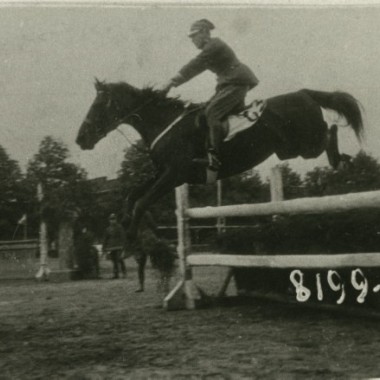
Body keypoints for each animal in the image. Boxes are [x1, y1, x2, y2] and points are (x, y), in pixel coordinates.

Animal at [75, 79, 364, 240]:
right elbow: (132, 195)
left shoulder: (174, 174)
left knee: (329, 132)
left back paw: (341, 160)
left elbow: (142, 201)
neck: (165, 123)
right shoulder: (166, 174)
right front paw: (125, 224)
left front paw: (131, 237)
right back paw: (345, 162)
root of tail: (304, 93)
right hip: (288, 149)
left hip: (303, 144)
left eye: (98, 106)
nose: (81, 139)